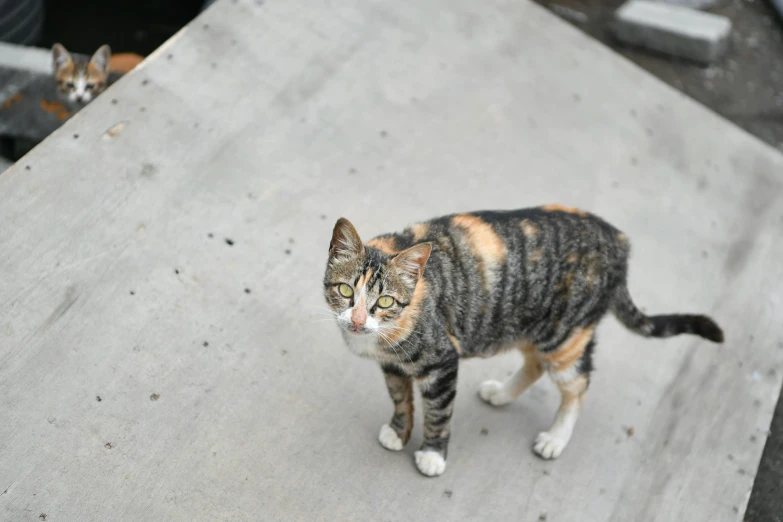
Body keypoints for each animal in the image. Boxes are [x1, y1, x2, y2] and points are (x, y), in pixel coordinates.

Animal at [324, 203, 724, 476]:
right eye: (345, 291)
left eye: (385, 302)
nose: (357, 320)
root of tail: (619, 241)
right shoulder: (392, 366)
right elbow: (400, 399)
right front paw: (399, 431)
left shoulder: (441, 362)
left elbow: (437, 412)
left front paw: (432, 454)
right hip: (530, 326)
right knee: (534, 365)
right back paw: (501, 394)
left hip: (564, 336)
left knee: (577, 384)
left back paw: (555, 438)